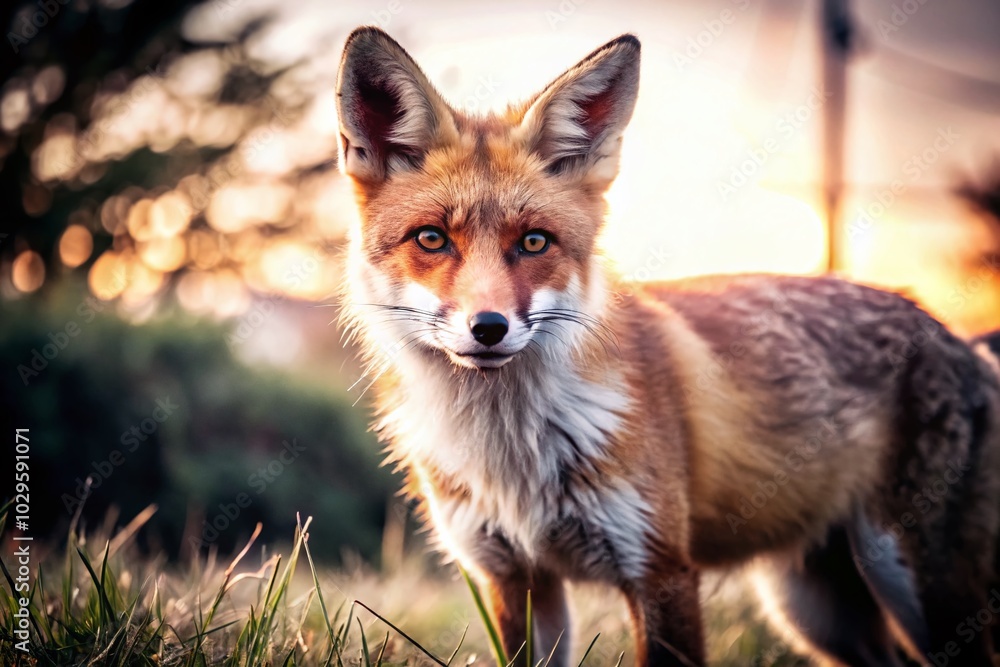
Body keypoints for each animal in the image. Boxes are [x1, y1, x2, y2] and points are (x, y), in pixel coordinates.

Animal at [336, 27, 1000, 667]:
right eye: (431, 238)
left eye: (534, 242)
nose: (490, 327)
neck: (511, 451)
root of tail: (952, 334)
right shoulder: (516, 580)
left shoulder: (660, 569)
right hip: (814, 611)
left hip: (912, 587)